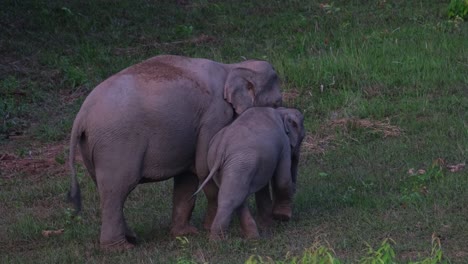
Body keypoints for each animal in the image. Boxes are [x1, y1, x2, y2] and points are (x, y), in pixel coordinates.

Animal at [67, 54, 284, 250]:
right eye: (277, 103)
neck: (232, 67)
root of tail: (81, 116)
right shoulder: (214, 116)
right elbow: (205, 168)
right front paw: (209, 228)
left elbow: (188, 176)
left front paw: (186, 234)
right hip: (115, 144)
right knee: (118, 189)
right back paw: (120, 248)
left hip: (92, 148)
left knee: (107, 191)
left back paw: (131, 238)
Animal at [193, 106, 306, 239]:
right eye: (302, 138)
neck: (281, 111)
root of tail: (221, 147)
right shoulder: (284, 144)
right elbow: (283, 180)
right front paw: (282, 217)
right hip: (239, 166)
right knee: (231, 199)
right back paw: (217, 241)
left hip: (223, 166)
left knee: (237, 198)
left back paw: (253, 237)